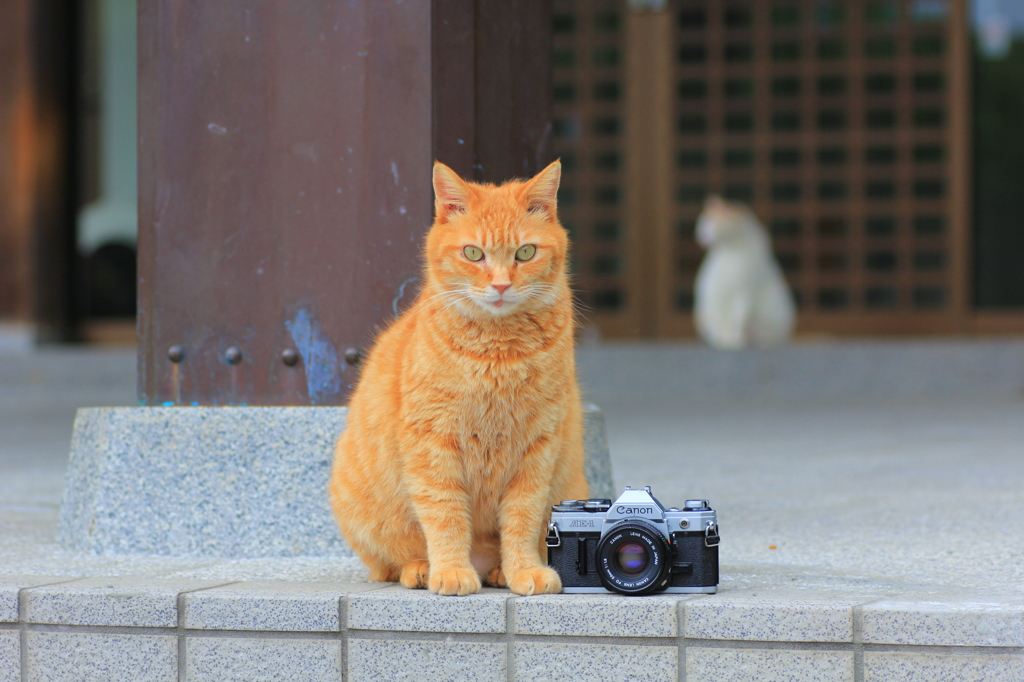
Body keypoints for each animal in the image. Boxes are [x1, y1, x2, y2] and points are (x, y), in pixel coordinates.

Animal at [327, 159, 585, 593]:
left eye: (526, 252)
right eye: (473, 253)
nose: (501, 285)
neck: (499, 353)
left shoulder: (537, 448)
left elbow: (523, 519)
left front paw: (523, 570)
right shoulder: (433, 443)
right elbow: (445, 515)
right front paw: (450, 571)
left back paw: (498, 571)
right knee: (392, 562)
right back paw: (422, 569)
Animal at [692, 193, 794, 348]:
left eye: (711, 223)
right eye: (703, 223)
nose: (701, 234)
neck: (731, 251)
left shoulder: (745, 293)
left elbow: (738, 320)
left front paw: (736, 339)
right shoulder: (715, 292)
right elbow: (721, 322)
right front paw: (724, 340)